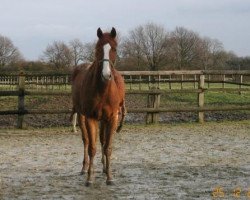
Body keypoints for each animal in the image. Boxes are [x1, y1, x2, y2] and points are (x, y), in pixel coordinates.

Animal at [71, 27, 126, 185]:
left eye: (114, 48)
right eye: (98, 48)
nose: (106, 75)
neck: (102, 91)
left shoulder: (112, 118)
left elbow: (108, 147)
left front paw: (109, 176)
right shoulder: (91, 118)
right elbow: (92, 148)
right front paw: (90, 178)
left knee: (102, 140)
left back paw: (103, 168)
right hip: (82, 116)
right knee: (86, 141)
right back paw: (85, 168)